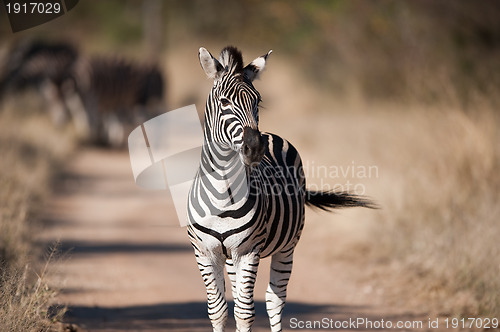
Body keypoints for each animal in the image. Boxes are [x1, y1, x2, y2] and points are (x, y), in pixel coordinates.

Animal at [188, 46, 376, 332]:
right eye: (224, 102)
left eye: (258, 101)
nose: (255, 149)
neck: (222, 194)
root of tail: (272, 135)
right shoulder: (205, 252)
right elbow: (218, 311)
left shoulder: (249, 250)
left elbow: (245, 312)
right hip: (231, 257)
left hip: (287, 246)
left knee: (274, 299)